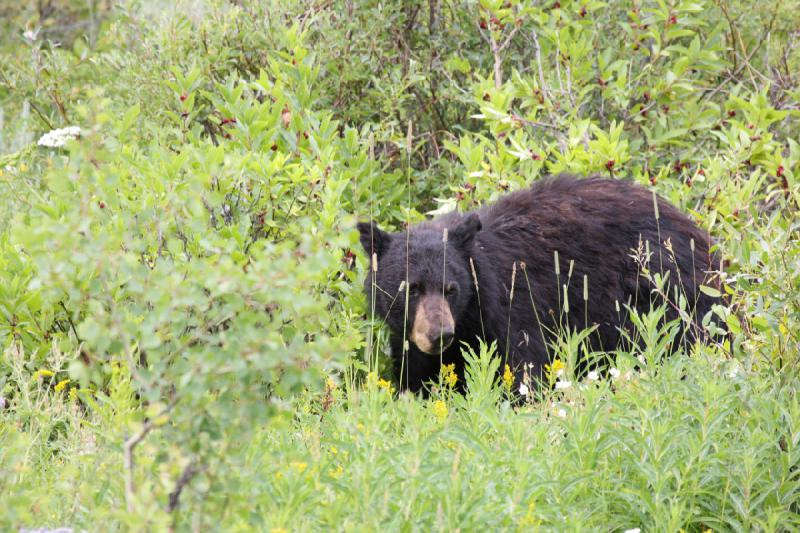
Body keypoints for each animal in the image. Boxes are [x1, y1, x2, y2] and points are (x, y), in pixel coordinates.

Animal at [360, 175, 720, 390]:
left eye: (452, 289)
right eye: (411, 288)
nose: (439, 334)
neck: (471, 318)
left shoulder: (515, 311)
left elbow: (524, 370)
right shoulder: (411, 339)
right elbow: (415, 377)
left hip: (665, 296)